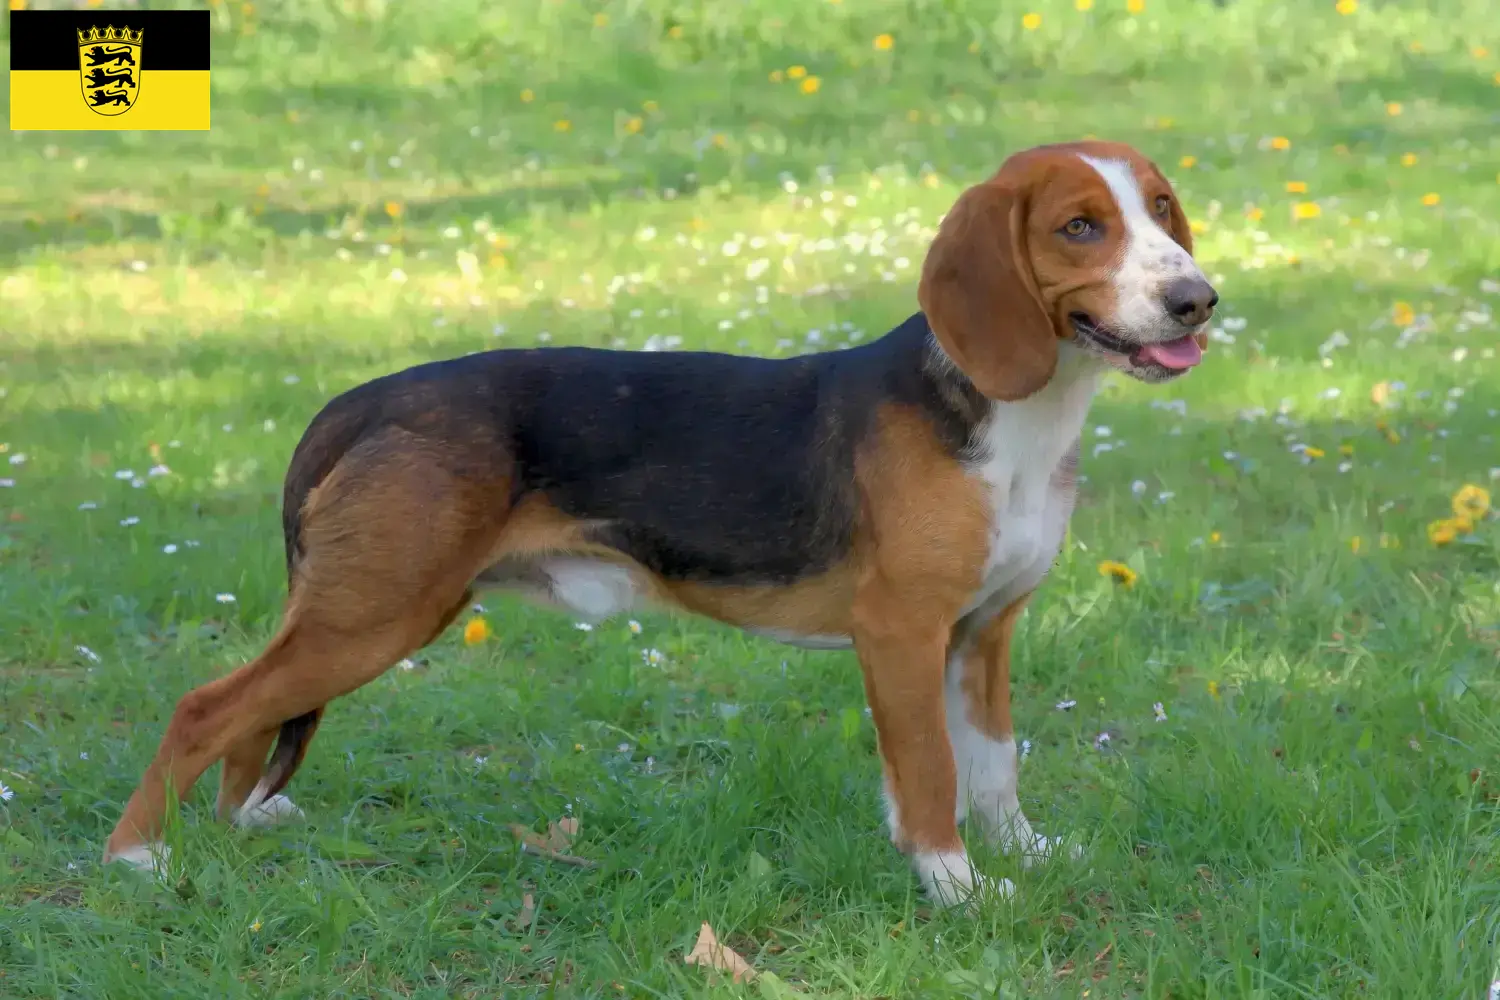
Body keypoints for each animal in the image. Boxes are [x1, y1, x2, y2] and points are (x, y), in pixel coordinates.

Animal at [114, 142, 1218, 917]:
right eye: (1080, 228)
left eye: (1162, 210)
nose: (1197, 298)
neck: (1018, 420)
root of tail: (360, 401)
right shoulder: (901, 635)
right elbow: (931, 776)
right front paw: (955, 887)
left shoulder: (981, 635)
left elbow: (993, 765)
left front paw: (1025, 854)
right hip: (373, 616)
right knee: (206, 707)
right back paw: (138, 855)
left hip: (357, 617)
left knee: (249, 720)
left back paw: (242, 826)